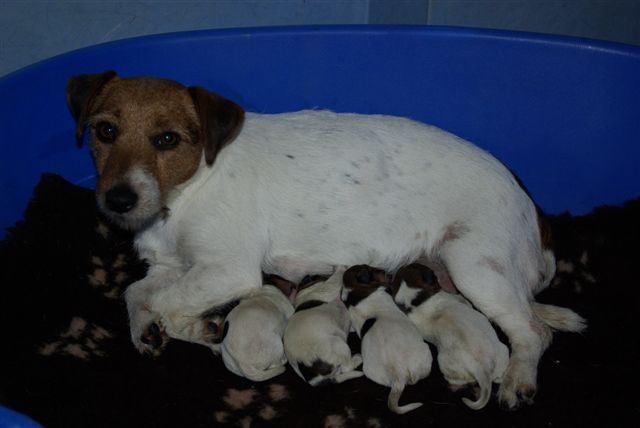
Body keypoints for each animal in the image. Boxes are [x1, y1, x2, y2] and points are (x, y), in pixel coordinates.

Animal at [340, 264, 430, 414]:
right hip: (426, 351)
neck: (355, 290)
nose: (387, 272)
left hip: (371, 372)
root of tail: (399, 376)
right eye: (371, 269)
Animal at [392, 262, 508, 410]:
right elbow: (464, 300)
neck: (417, 302)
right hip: (446, 364)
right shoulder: (456, 298)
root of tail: (483, 368)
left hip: (503, 351)